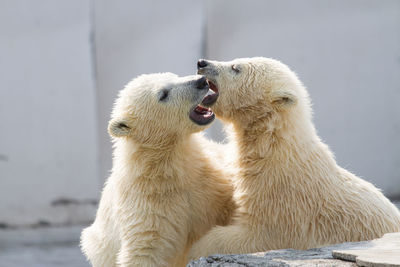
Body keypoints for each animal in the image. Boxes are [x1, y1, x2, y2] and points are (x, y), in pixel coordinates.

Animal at [80, 73, 236, 267]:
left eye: (175, 76)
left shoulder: (209, 177)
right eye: (163, 94)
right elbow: (147, 250)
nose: (201, 81)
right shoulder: (145, 202)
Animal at [189, 57, 400, 260]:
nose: (202, 63)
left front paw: (197, 248)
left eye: (235, 67)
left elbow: (258, 236)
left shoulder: (281, 200)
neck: (274, 146)